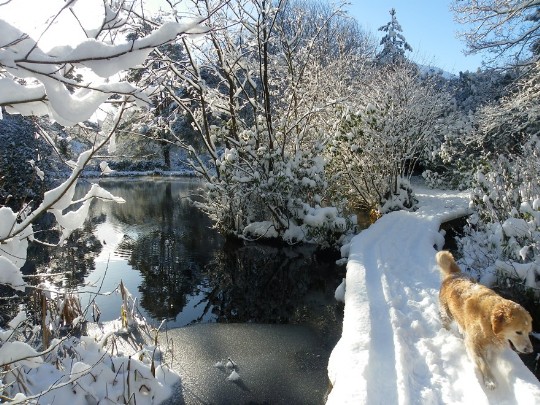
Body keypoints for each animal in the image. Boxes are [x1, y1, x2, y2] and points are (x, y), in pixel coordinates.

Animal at [436, 249, 532, 388]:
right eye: (518, 332)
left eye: (529, 332)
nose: (529, 350)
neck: (488, 319)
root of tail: (454, 274)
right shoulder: (473, 343)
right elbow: (482, 362)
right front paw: (490, 380)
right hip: (447, 313)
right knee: (445, 323)